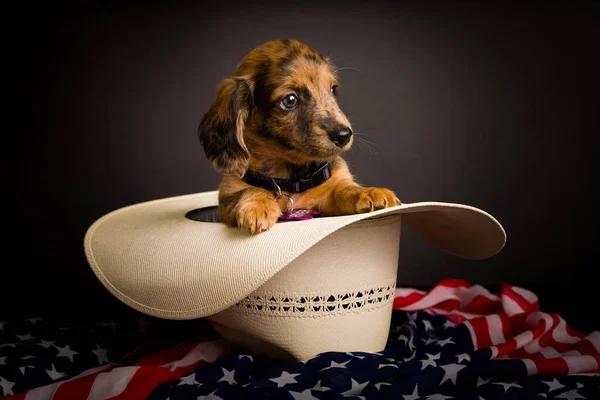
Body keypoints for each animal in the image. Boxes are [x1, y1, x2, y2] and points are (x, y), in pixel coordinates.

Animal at [199, 39, 400, 233]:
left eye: (333, 89)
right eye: (290, 100)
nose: (344, 135)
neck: (292, 180)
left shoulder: (328, 194)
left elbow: (343, 189)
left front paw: (369, 192)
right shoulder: (228, 195)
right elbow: (248, 191)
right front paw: (257, 206)